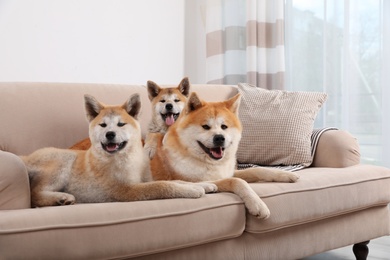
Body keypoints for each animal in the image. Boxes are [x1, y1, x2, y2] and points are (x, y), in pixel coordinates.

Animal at [21, 93, 216, 207]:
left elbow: (179, 181)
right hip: (63, 160)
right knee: (34, 194)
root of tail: (25, 157)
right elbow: (163, 186)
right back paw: (60, 198)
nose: (110, 134)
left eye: (121, 124)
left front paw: (204, 184)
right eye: (103, 125)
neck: (128, 158)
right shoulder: (127, 190)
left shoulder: (144, 179)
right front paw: (193, 191)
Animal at [151, 92, 300, 218]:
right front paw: (257, 204)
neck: (211, 163)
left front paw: (286, 174)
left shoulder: (229, 172)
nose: (219, 138)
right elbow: (237, 181)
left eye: (224, 127)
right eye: (205, 127)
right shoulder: (197, 179)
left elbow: (259, 169)